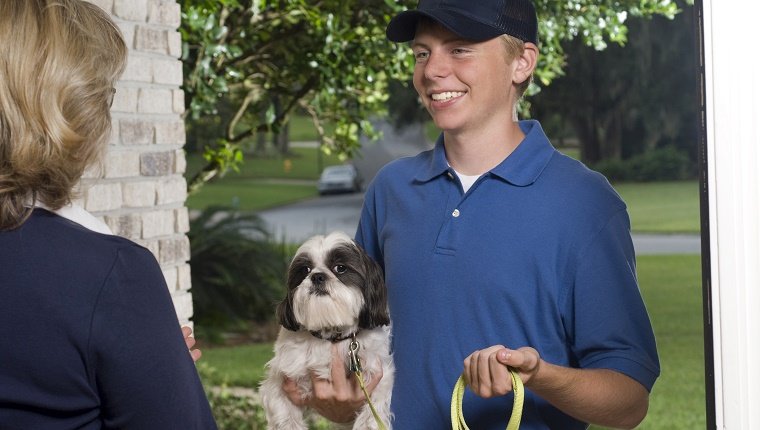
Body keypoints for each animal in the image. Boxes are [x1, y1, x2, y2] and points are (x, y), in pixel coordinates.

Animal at [260, 232, 394, 430]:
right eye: (305, 270)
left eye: (340, 268)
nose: (317, 276)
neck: (331, 336)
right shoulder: (280, 382)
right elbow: (286, 418)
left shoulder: (378, 376)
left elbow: (372, 414)